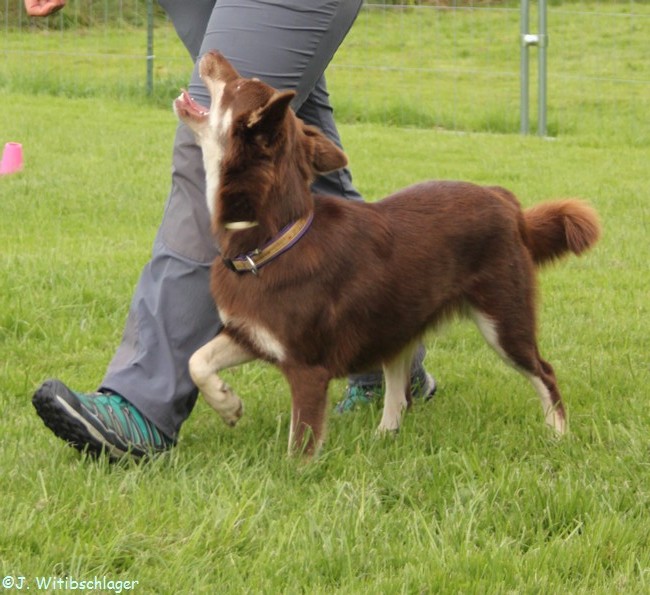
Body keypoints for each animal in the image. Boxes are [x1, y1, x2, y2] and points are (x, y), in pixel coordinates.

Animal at [174, 51, 600, 456]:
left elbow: (301, 444)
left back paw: (558, 434)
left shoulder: (308, 367)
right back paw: (383, 437)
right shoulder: (252, 334)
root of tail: (507, 202)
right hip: (397, 319)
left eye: (238, 85)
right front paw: (227, 404)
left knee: (544, 372)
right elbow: (197, 361)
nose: (211, 53)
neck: (273, 239)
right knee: (399, 389)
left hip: (504, 321)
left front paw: (295, 472)